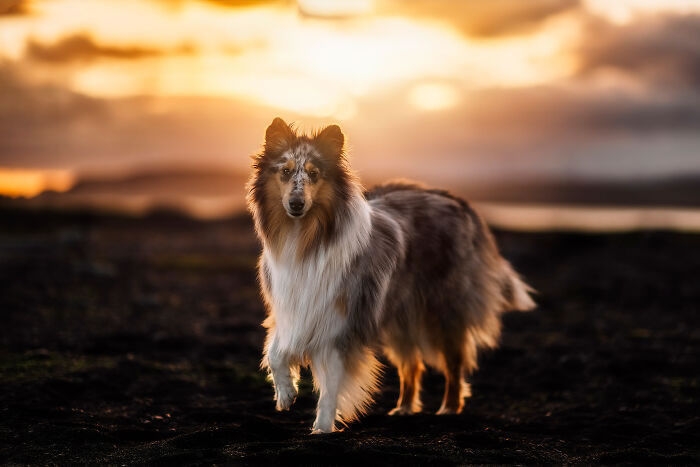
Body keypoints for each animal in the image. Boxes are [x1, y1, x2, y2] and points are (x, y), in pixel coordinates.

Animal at [247, 118, 536, 436]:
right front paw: (286, 393)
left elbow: (331, 385)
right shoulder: (292, 306)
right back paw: (405, 407)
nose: (296, 204)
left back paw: (449, 407)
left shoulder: (340, 320)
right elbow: (275, 351)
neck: (306, 239)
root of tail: (458, 201)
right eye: (285, 171)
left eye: (313, 174)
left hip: (443, 309)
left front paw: (322, 429)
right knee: (412, 364)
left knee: (454, 359)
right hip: (400, 315)